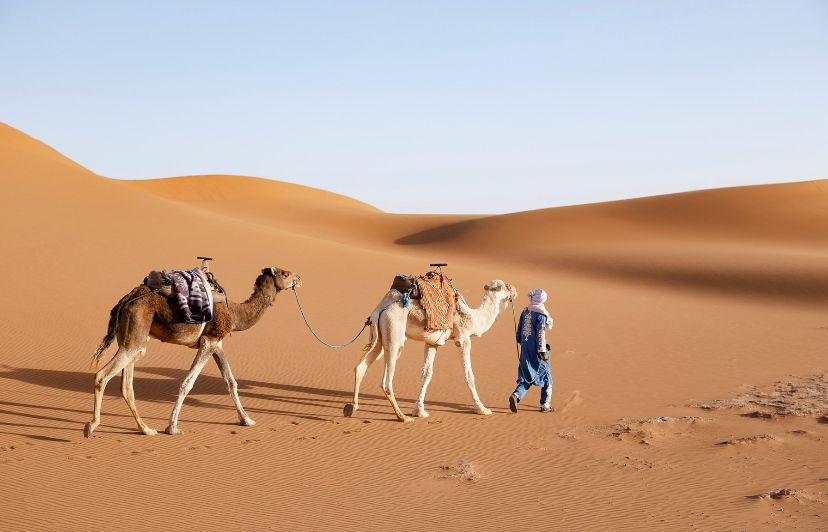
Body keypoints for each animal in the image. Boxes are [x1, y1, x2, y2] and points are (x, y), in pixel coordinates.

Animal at [84, 266, 301, 437]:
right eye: (285, 273)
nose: (299, 278)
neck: (235, 313)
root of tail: (125, 300)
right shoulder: (208, 342)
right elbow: (187, 383)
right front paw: (172, 427)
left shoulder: (217, 344)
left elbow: (231, 382)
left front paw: (246, 420)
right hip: (134, 338)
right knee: (102, 376)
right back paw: (92, 426)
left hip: (133, 340)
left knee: (127, 386)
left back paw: (146, 429)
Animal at [344, 279, 517, 422]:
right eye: (505, 286)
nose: (515, 290)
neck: (473, 317)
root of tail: (380, 308)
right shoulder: (463, 339)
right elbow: (469, 375)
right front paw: (482, 409)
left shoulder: (432, 343)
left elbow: (426, 374)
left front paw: (419, 411)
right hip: (394, 334)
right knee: (386, 381)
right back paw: (402, 417)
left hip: (378, 336)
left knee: (361, 366)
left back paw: (352, 408)